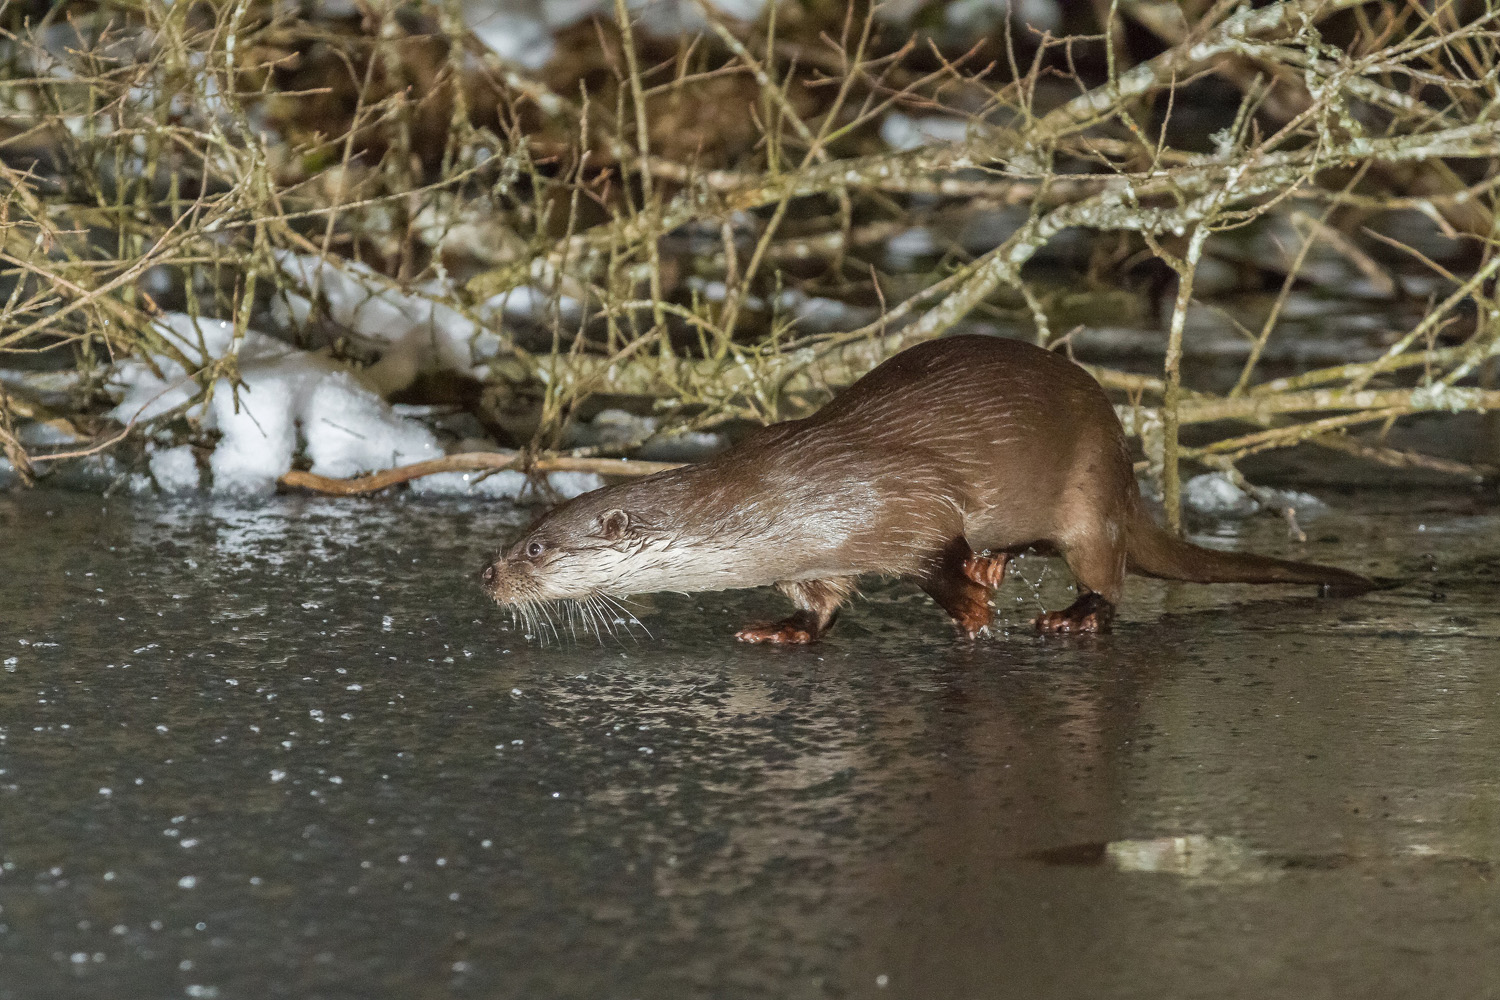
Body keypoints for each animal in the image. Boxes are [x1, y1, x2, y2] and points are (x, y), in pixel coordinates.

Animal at [477, 332, 1374, 638]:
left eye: (538, 547)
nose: (486, 573)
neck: (769, 509)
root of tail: (1128, 474)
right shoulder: (818, 556)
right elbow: (823, 600)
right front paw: (786, 629)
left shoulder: (892, 503)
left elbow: (933, 547)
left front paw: (968, 607)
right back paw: (999, 563)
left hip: (1088, 496)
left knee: (1108, 575)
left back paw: (1068, 613)